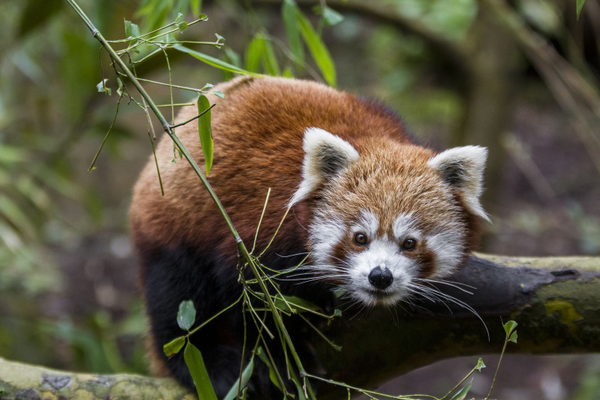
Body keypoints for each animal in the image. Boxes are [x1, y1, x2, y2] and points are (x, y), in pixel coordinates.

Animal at [130, 75, 488, 396]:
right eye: (360, 238)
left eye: (409, 243)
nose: (380, 277)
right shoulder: (260, 227)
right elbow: (249, 298)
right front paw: (282, 361)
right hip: (174, 224)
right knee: (180, 299)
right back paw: (207, 364)